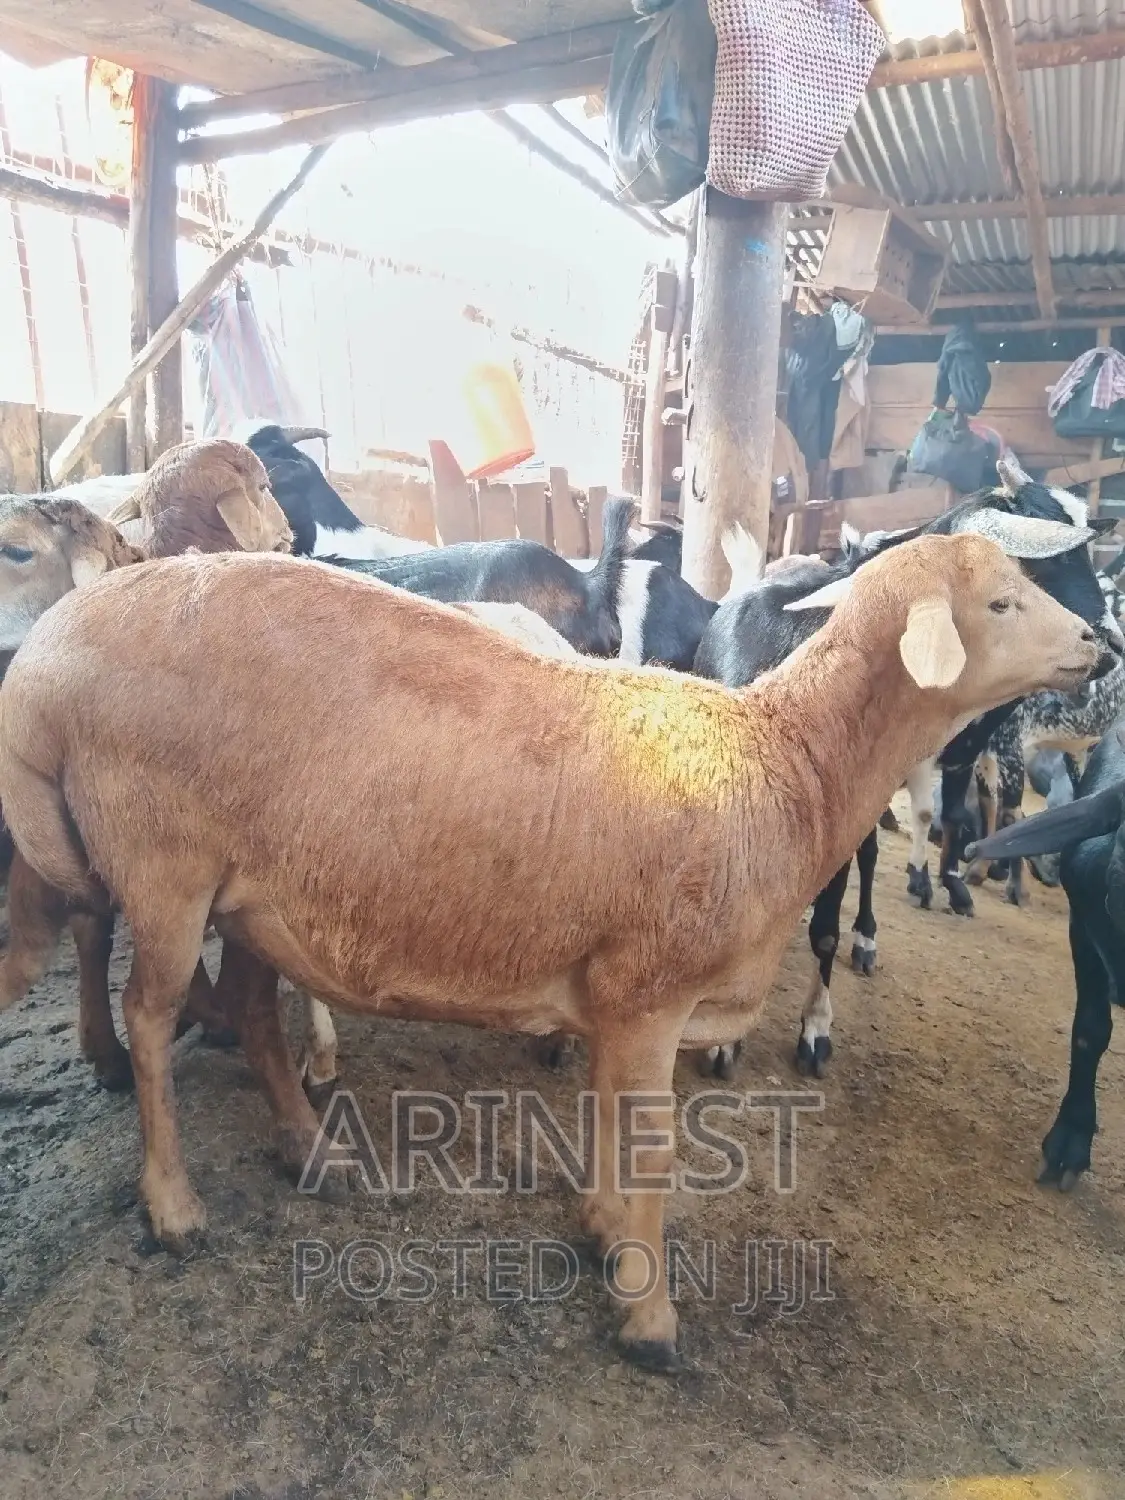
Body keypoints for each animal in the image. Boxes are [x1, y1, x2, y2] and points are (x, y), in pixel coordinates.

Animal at [0, 534, 1100, 1368]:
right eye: (1003, 601)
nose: (1100, 643)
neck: (786, 762)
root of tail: (50, 654)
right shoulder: (649, 989)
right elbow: (651, 1147)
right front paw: (650, 1317)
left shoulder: (617, 995)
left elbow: (609, 1124)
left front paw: (608, 1239)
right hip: (164, 866)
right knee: (149, 1019)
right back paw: (174, 1206)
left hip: (248, 894)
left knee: (251, 1013)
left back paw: (313, 1149)